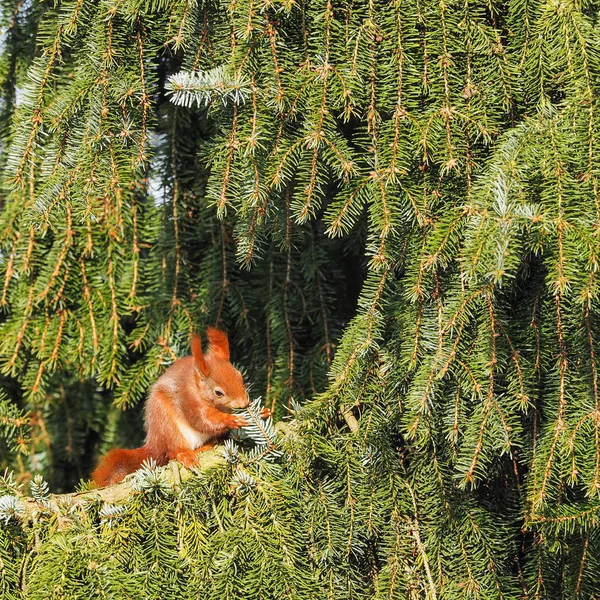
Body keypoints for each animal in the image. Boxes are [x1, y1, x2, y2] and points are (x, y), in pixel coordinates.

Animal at [93, 328, 251, 488]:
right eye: (218, 393)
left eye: (240, 377)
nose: (244, 403)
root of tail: (154, 444)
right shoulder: (189, 400)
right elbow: (203, 420)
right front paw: (232, 420)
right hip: (166, 424)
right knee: (173, 451)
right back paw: (186, 455)